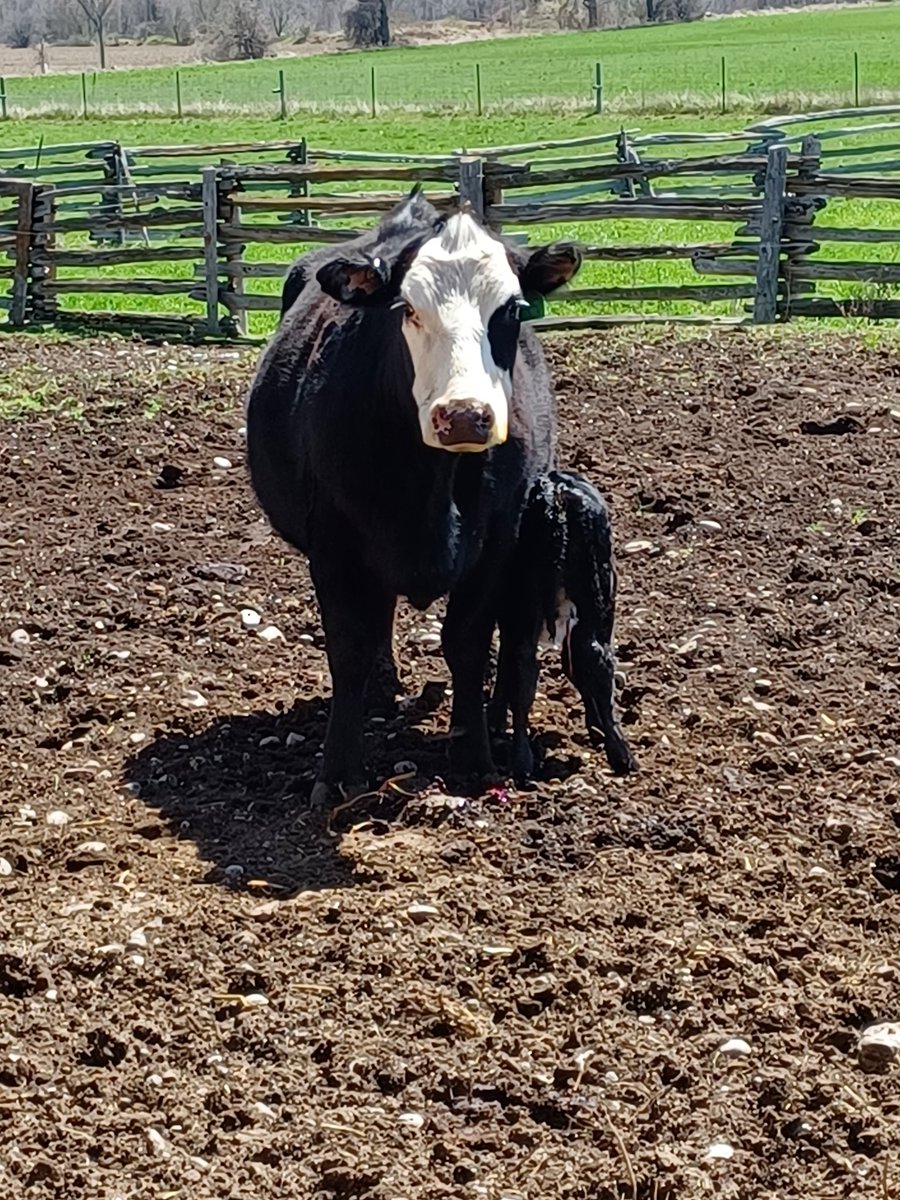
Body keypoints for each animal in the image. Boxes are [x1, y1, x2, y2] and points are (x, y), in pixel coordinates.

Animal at [245, 187, 582, 805]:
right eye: (407, 308)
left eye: (512, 310)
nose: (466, 415)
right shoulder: (334, 545)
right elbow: (349, 649)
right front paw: (338, 771)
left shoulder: (497, 540)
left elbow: (466, 641)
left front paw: (472, 753)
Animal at [488, 469, 636, 781]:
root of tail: (556, 492)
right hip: (597, 601)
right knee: (596, 660)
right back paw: (622, 756)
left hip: (528, 605)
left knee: (526, 666)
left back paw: (522, 761)